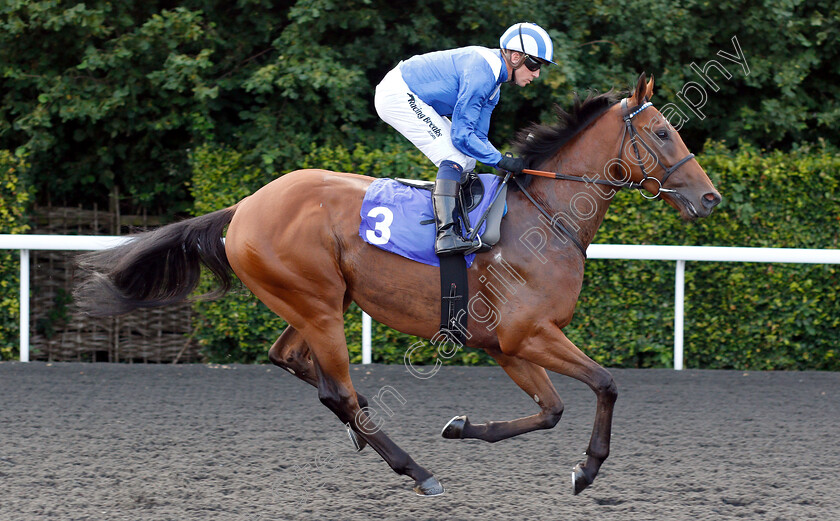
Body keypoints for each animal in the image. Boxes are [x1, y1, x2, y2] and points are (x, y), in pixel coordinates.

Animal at [75, 73, 720, 496]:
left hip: (317, 302)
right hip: (318, 305)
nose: (710, 198)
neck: (544, 218)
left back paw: (369, 435)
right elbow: (605, 384)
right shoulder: (527, 335)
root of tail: (244, 207)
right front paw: (586, 470)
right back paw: (416, 469)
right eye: (663, 133)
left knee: (295, 363)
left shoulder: (507, 345)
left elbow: (552, 409)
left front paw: (463, 427)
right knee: (334, 389)